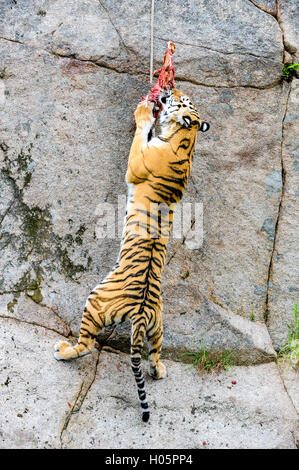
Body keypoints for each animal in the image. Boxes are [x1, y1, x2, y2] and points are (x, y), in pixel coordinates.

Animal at [54, 88, 210, 422]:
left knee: (86, 344)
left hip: (95, 300)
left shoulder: (136, 163)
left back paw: (63, 351)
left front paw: (143, 112)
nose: (168, 90)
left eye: (180, 99)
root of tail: (140, 312)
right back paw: (159, 371)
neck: (186, 137)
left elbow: (140, 135)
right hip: (158, 325)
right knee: (155, 354)